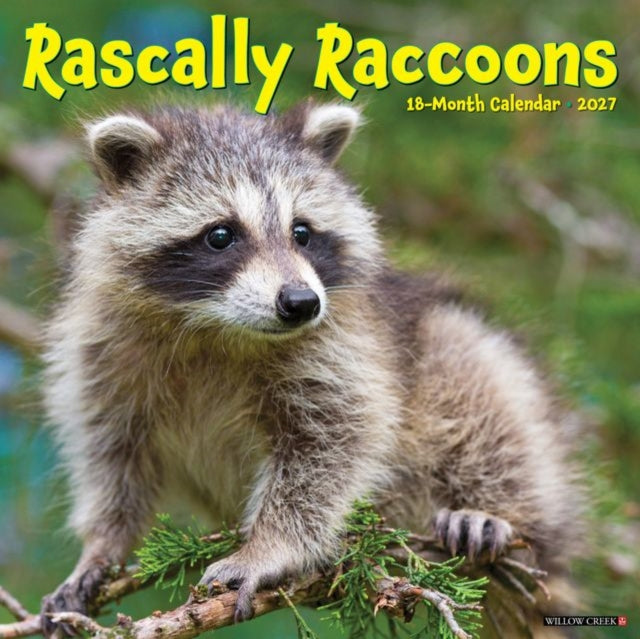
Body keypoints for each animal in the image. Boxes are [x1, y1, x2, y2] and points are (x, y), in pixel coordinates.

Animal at [41, 100, 582, 636]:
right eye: (221, 235)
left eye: (301, 232)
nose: (301, 302)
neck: (217, 328)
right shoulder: (105, 351)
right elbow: (112, 456)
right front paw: (102, 545)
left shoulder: (345, 346)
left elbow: (334, 444)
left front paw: (268, 547)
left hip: (465, 365)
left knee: (482, 390)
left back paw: (499, 513)